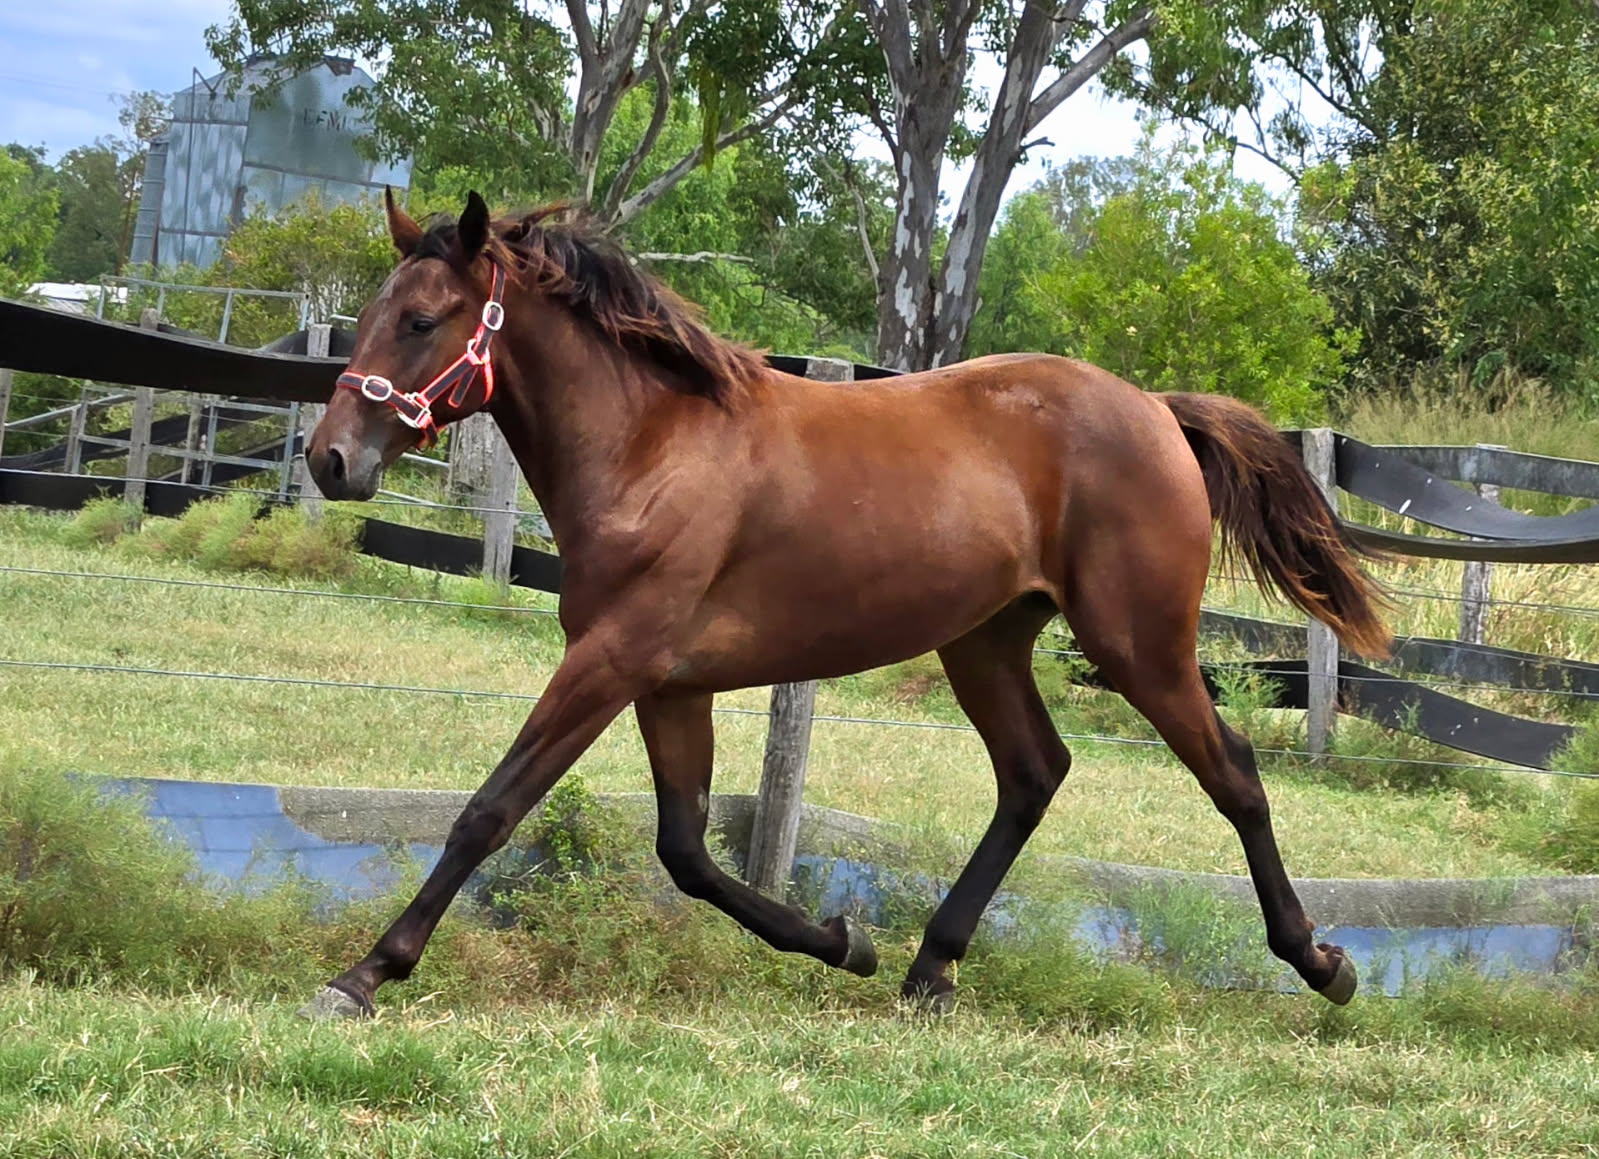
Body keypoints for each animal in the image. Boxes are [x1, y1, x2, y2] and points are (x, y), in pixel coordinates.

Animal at [298, 190, 1389, 1020]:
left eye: (423, 319)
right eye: (373, 312)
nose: (330, 458)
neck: (652, 445)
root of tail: (1158, 410)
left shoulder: (609, 661)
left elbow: (491, 809)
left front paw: (363, 973)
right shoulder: (667, 684)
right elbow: (686, 849)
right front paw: (841, 940)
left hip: (1138, 646)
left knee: (1233, 773)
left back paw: (1321, 963)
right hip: (984, 643)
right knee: (1034, 773)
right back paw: (929, 967)